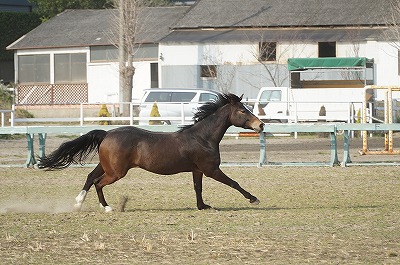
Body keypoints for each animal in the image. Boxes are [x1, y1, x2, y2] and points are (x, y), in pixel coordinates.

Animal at [39, 93, 266, 210]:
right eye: (242, 110)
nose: (261, 125)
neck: (203, 138)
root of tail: (107, 133)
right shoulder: (211, 170)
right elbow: (234, 183)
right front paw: (253, 198)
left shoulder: (197, 170)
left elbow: (197, 189)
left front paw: (203, 206)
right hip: (116, 172)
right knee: (98, 182)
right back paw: (107, 207)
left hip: (107, 165)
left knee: (89, 177)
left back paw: (78, 203)